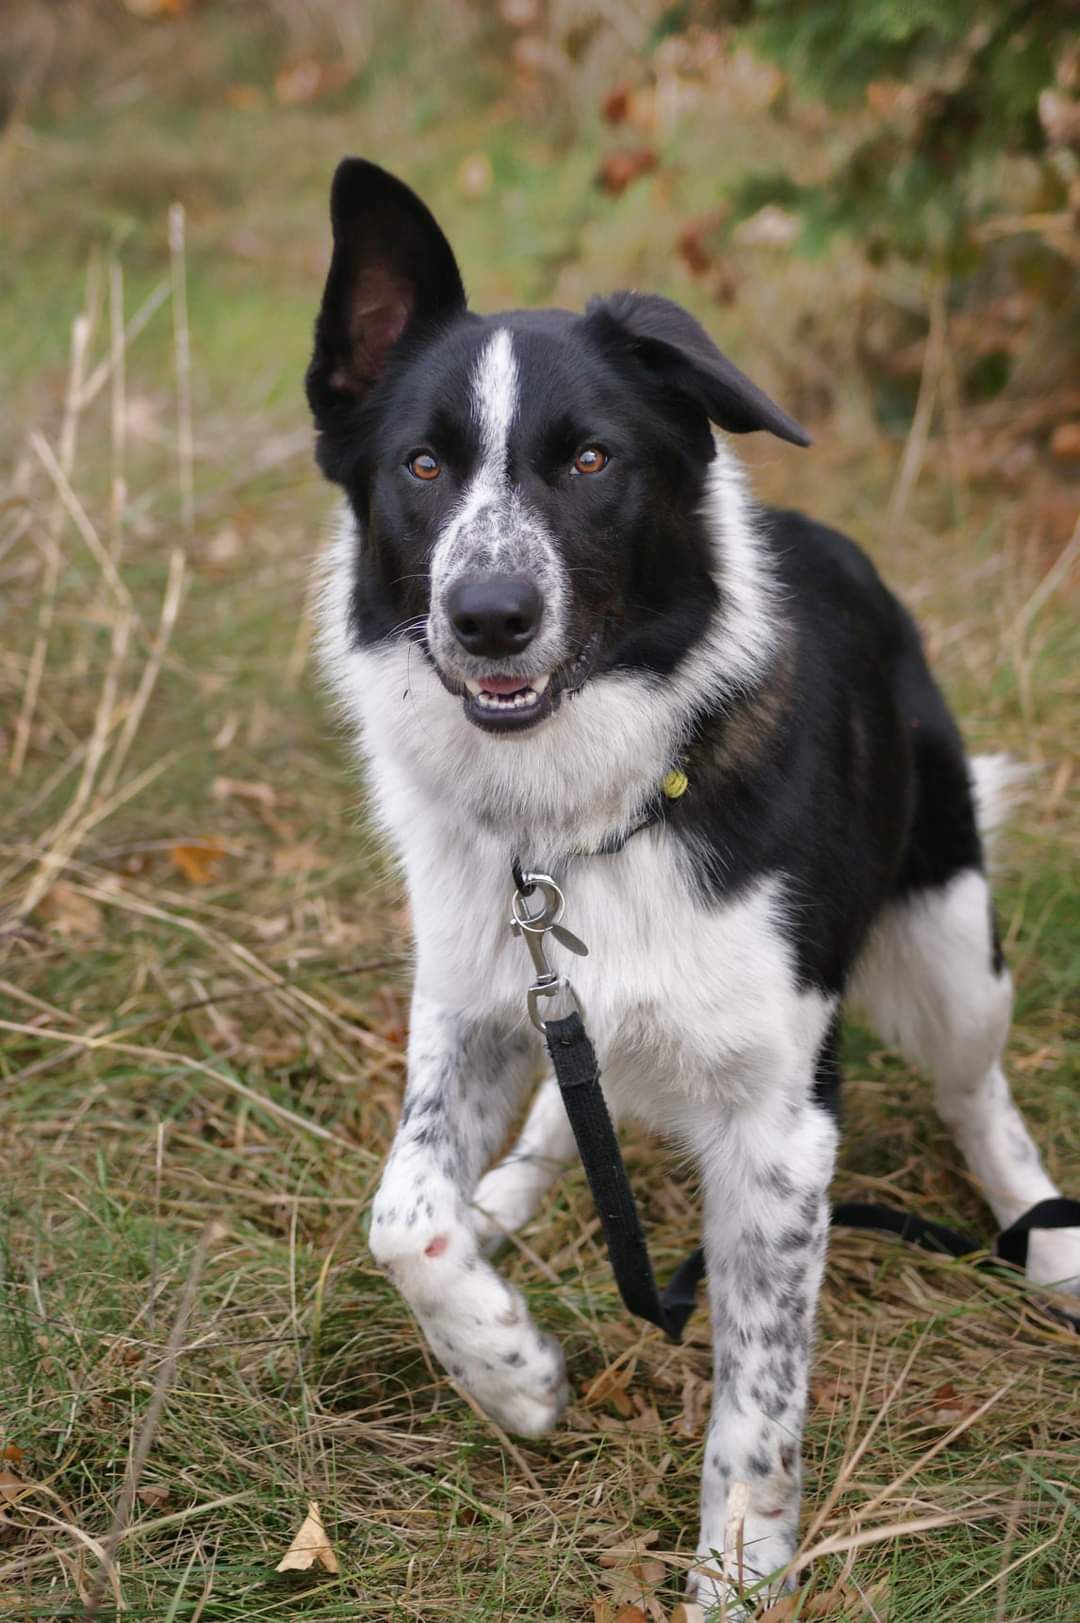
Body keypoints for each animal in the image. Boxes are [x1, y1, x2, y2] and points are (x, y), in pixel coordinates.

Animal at [305, 154, 1078, 1610]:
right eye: (422, 466)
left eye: (591, 460)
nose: (486, 617)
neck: (580, 818)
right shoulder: (478, 1001)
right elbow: (402, 1216)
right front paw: (508, 1369)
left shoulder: (782, 1129)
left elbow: (755, 1405)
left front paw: (735, 1569)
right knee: (562, 1117)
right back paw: (510, 1198)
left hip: (951, 948)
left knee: (981, 1097)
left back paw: (1047, 1233)